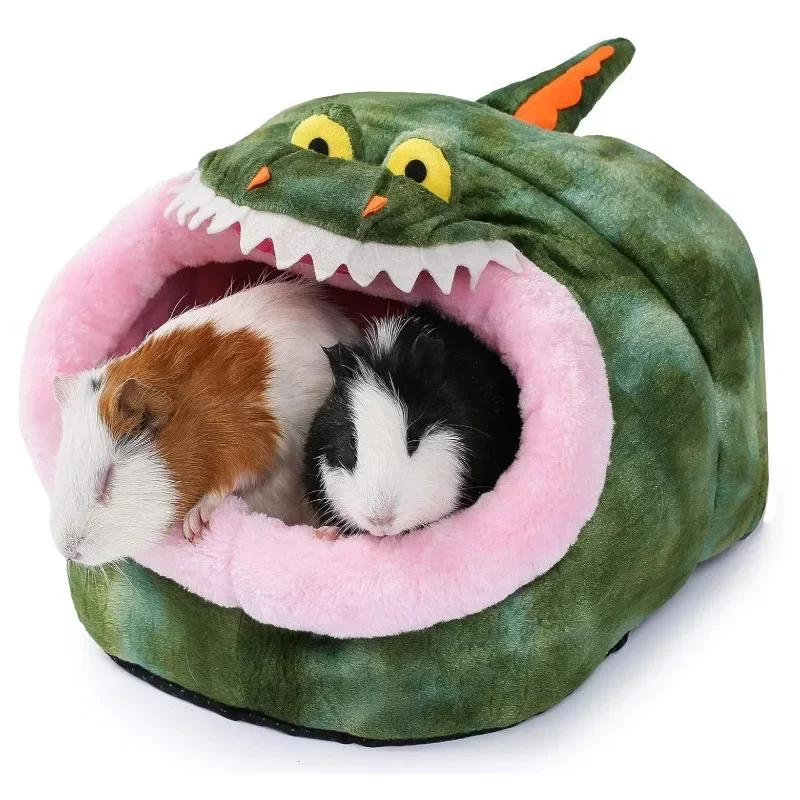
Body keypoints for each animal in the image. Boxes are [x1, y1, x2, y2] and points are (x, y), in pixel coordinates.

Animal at [50, 280, 360, 565]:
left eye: (107, 479)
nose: (69, 552)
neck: (194, 408)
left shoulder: (255, 441)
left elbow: (230, 481)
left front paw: (194, 526)